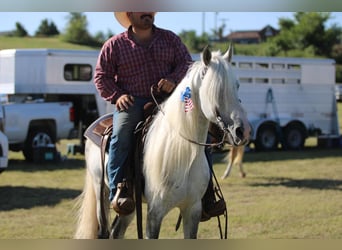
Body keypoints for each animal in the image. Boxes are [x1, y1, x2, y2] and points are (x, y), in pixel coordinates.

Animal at [74, 44, 251, 239]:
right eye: (217, 90)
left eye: (237, 86)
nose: (242, 130)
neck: (182, 152)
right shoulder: (155, 213)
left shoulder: (193, 209)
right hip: (101, 192)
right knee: (104, 231)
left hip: (129, 207)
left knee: (117, 231)